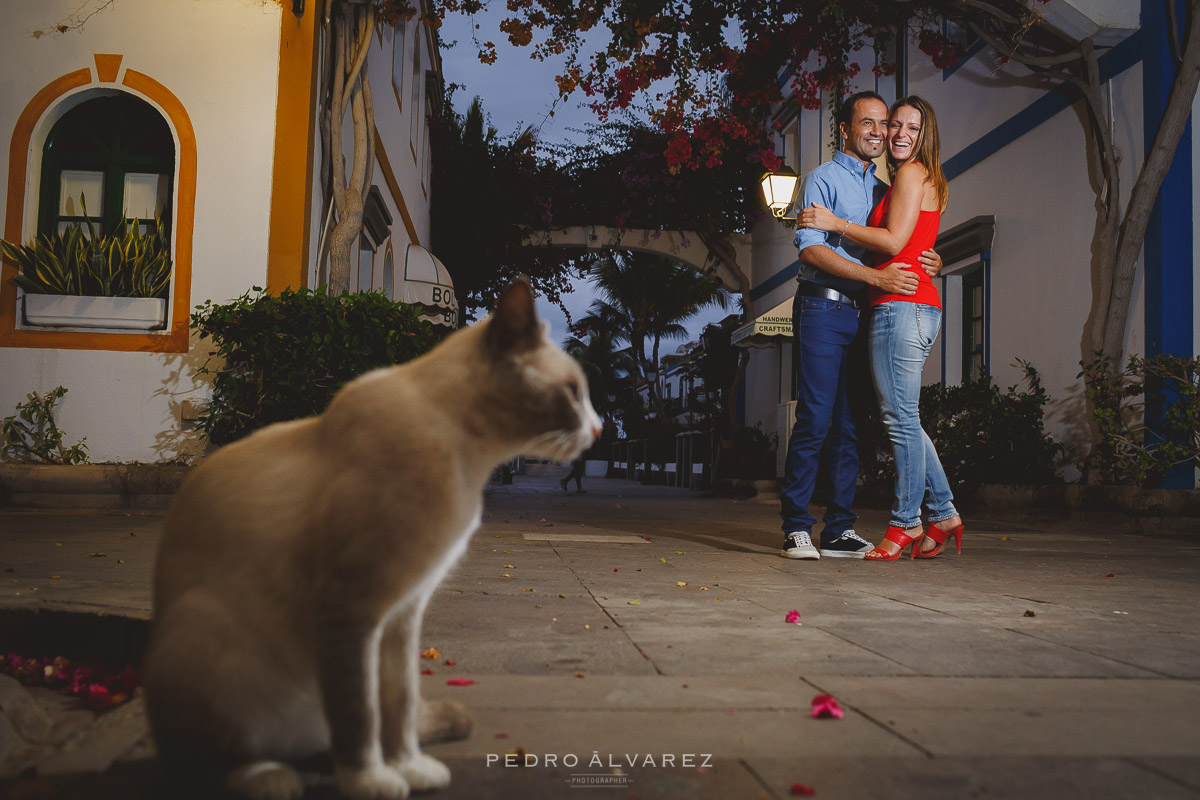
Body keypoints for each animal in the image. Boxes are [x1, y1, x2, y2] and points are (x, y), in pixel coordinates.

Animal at [142, 283, 600, 800]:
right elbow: (359, 713)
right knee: (202, 762)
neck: (469, 462)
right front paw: (370, 780)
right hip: (204, 639)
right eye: (574, 392)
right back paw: (271, 778)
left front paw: (407, 768)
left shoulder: (402, 613)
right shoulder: (350, 612)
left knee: (324, 737)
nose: (599, 428)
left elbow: (397, 705)